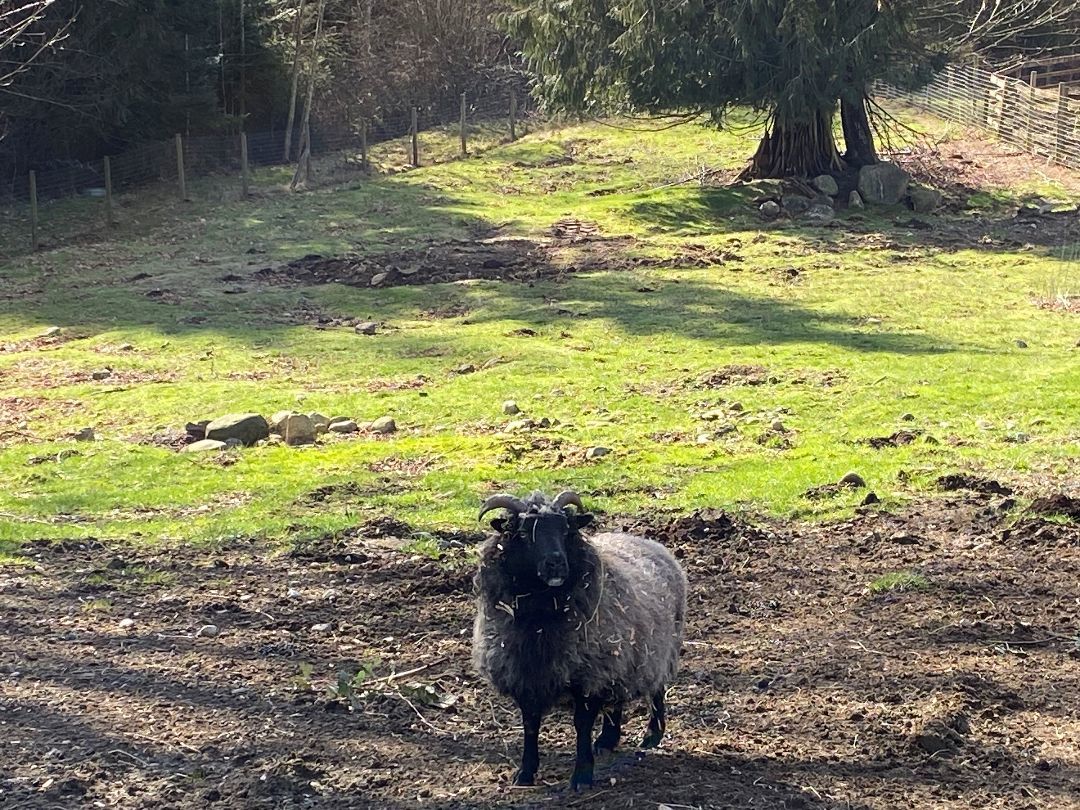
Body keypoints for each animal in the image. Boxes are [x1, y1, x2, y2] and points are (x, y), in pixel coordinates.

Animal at [471, 489, 687, 790]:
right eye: (523, 533)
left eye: (565, 530)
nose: (556, 563)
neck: (541, 618)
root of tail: (649, 542)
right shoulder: (526, 676)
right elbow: (530, 725)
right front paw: (525, 773)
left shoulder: (588, 676)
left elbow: (581, 725)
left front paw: (582, 776)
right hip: (619, 657)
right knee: (616, 697)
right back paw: (607, 739)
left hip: (656, 650)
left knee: (656, 689)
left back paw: (652, 734)